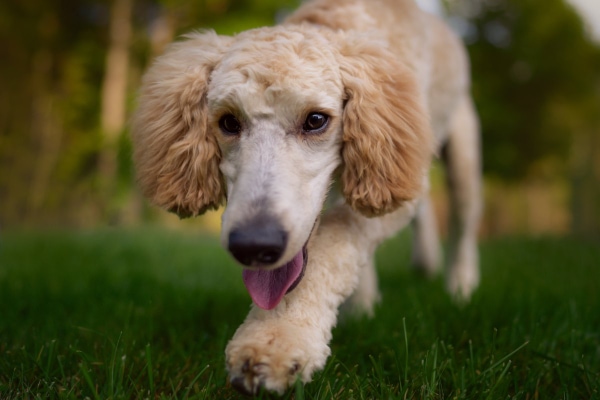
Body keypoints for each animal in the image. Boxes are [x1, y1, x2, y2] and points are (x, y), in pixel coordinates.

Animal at [131, 0, 482, 394]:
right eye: (228, 122)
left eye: (316, 120)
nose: (254, 246)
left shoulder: (392, 167)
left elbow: (334, 240)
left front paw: (277, 338)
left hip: (461, 149)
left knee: (463, 221)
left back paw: (461, 287)